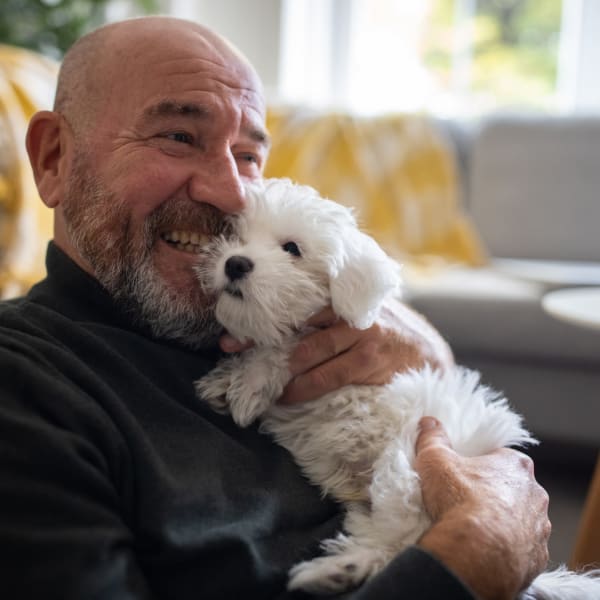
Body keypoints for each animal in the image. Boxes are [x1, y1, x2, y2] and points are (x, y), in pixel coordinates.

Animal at [195, 178, 596, 600]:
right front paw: (226, 380)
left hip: (404, 467)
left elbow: (285, 348)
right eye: (233, 236)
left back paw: (336, 568)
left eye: (292, 248)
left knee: (404, 536)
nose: (235, 263)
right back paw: (339, 569)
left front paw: (247, 382)